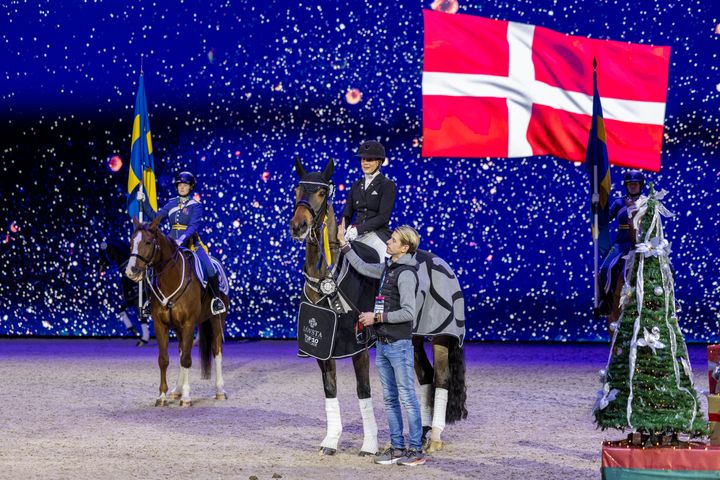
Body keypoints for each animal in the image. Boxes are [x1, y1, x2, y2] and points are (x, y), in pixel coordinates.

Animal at [124, 216, 228, 406]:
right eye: (131, 243)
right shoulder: (161, 324)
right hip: (180, 328)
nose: (131, 271)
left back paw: (220, 390)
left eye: (148, 242)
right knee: (181, 350)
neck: (170, 279)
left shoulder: (188, 324)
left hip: (217, 320)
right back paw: (177, 390)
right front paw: (162, 396)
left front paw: (186, 397)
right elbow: (164, 360)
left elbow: (186, 359)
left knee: (217, 350)